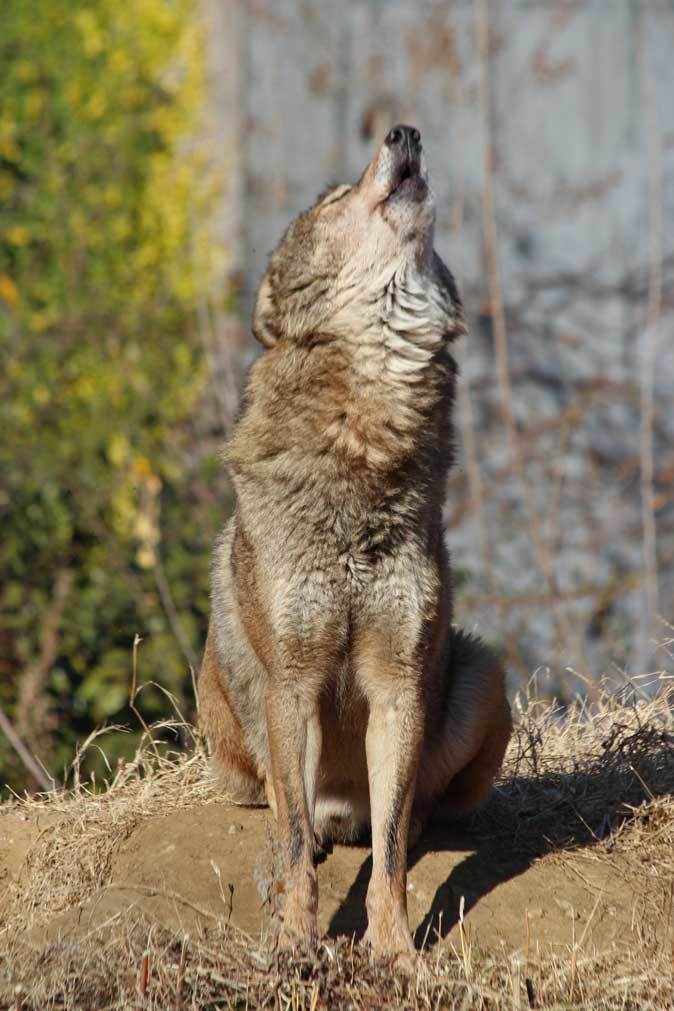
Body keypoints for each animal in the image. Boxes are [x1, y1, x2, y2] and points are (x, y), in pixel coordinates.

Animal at [198, 128, 513, 962]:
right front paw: (294, 945)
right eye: (335, 198)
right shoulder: (293, 682)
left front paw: (396, 950)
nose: (404, 131)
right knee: (284, 811)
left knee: (414, 812)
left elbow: (393, 849)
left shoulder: (399, 682)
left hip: (484, 672)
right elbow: (296, 844)